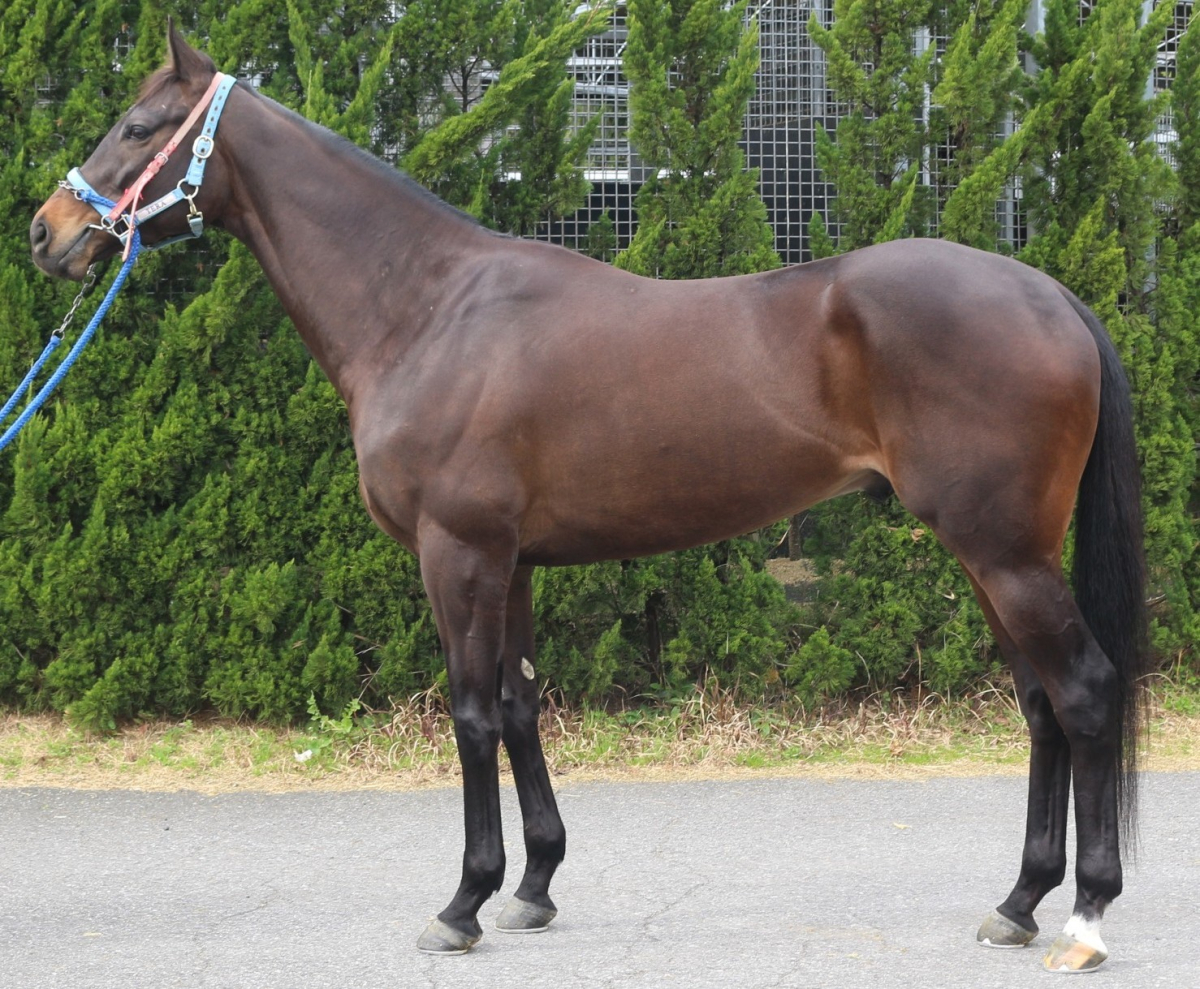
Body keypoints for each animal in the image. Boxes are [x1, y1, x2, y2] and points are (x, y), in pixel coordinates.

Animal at [30, 25, 1146, 974]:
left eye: (140, 125)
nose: (48, 232)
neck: (428, 308)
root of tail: (1052, 294)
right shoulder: (513, 561)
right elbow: (523, 705)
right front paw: (533, 884)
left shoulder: (458, 553)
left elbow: (472, 712)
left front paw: (463, 903)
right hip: (991, 556)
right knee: (1042, 704)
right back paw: (1018, 900)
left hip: (1003, 552)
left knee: (1087, 691)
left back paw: (1087, 915)